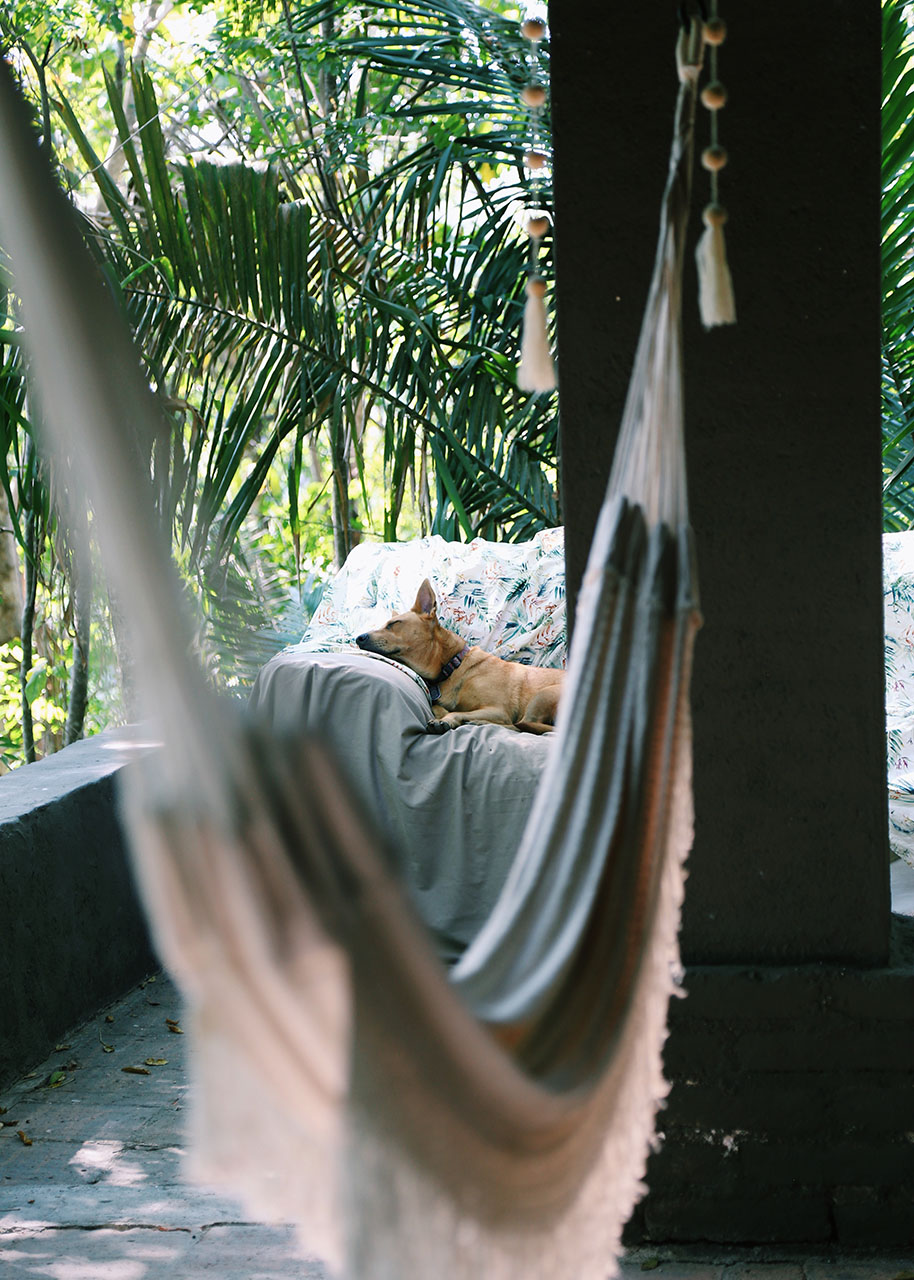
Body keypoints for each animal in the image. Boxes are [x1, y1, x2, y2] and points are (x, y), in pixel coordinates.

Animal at [355, 578, 563, 737]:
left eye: (393, 624)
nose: (358, 638)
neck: (454, 666)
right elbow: (440, 707)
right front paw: (444, 715)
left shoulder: (498, 710)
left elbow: (457, 712)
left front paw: (447, 720)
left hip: (542, 695)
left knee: (525, 724)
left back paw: (479, 722)